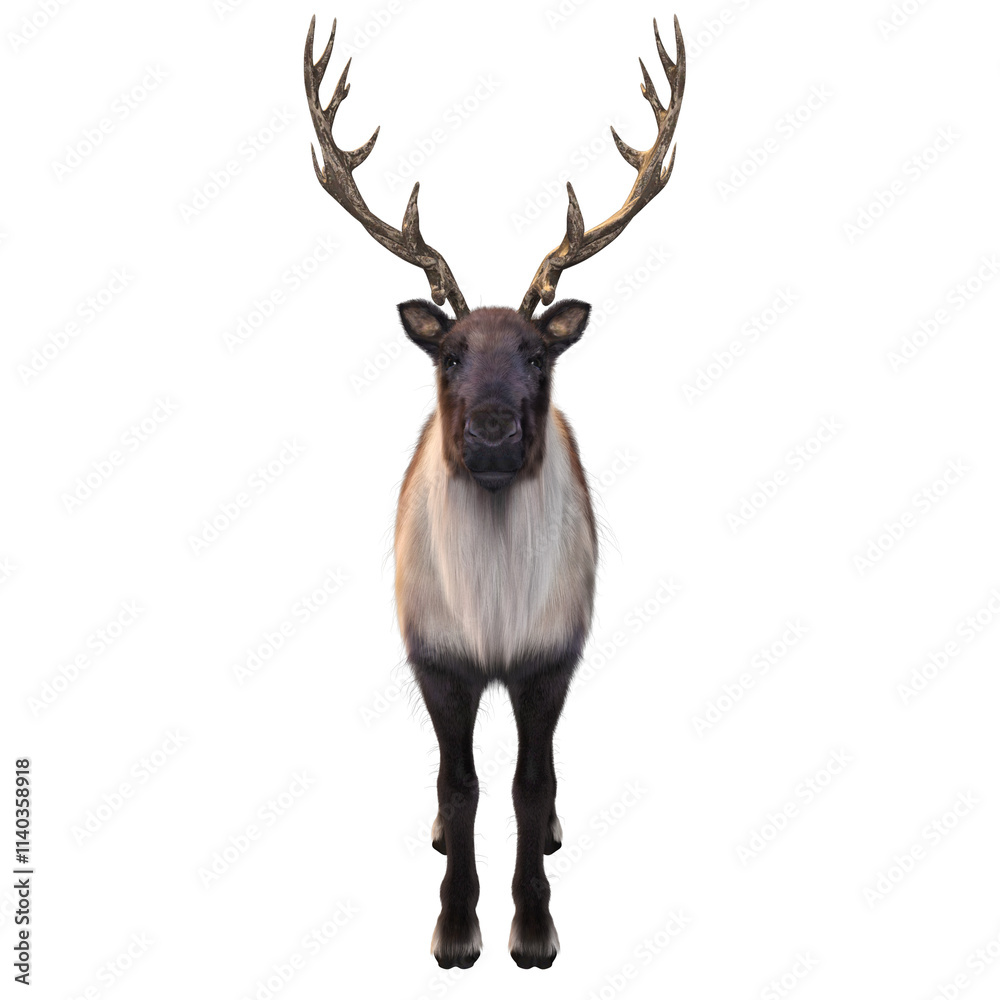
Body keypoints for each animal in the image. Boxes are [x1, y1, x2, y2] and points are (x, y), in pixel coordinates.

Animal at [304, 13, 685, 969]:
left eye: (539, 353)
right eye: (447, 353)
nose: (490, 431)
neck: (493, 618)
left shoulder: (554, 655)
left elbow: (526, 781)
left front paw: (534, 931)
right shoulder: (433, 656)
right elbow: (463, 782)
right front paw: (455, 929)